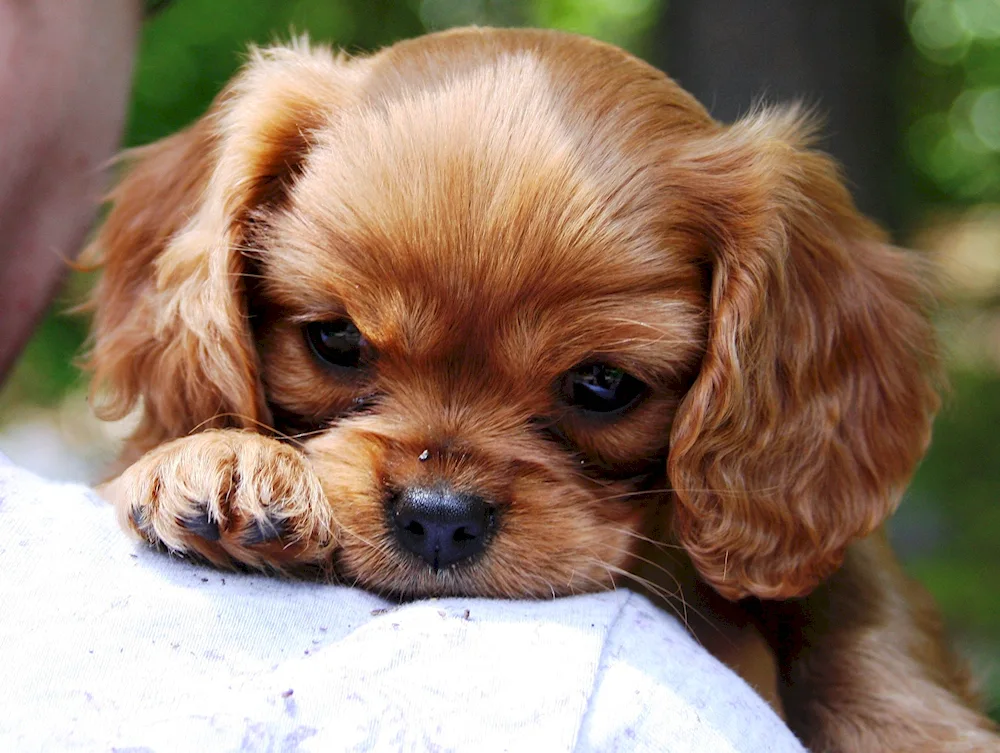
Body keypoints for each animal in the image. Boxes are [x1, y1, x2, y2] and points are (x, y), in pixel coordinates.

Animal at [88, 26, 1000, 748]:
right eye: (336, 340)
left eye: (602, 384)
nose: (439, 517)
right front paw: (221, 460)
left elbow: (862, 612)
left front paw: (915, 725)